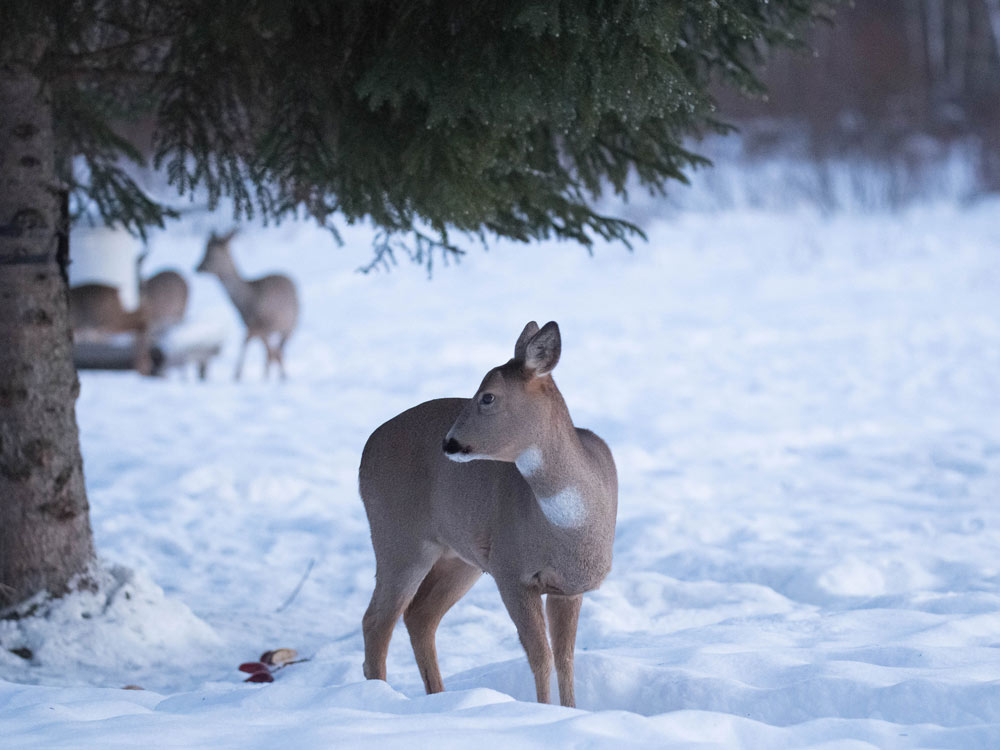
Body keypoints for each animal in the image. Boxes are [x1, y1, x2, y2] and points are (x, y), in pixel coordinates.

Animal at [196, 229, 300, 382]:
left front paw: (237, 375)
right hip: (285, 327)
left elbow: (249, 343)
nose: (197, 267)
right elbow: (265, 351)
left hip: (288, 326)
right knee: (275, 352)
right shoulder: (255, 327)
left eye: (210, 253)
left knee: (274, 352)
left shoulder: (257, 325)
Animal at [360, 320, 616, 708]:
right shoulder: (512, 572)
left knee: (419, 615)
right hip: (398, 537)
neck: (570, 526)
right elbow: (541, 657)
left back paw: (438, 699)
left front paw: (572, 711)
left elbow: (565, 658)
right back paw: (380, 699)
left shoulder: (568, 587)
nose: (448, 442)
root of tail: (365, 450)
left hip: (460, 557)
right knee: (377, 620)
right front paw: (545, 711)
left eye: (488, 396)